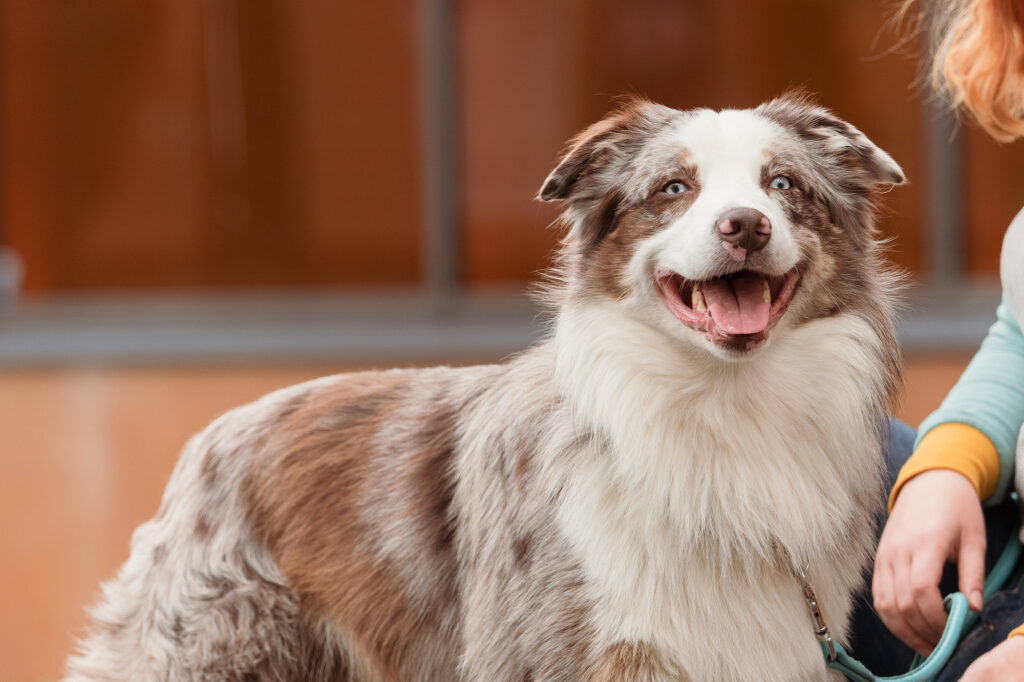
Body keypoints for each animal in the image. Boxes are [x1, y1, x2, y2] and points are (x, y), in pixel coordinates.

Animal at [68, 91, 905, 679]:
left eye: (783, 184)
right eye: (674, 188)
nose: (745, 225)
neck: (722, 406)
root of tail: (215, 436)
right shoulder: (551, 652)